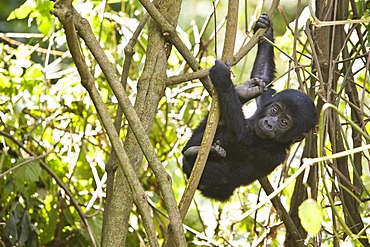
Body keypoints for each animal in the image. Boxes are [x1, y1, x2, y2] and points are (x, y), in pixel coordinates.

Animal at [182, 14, 318, 202]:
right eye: (274, 110)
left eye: (284, 122)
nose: (269, 123)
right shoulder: (267, 100)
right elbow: (264, 78)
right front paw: (266, 29)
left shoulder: (271, 152)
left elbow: (241, 136)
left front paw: (224, 80)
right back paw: (242, 93)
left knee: (221, 178)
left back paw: (195, 154)